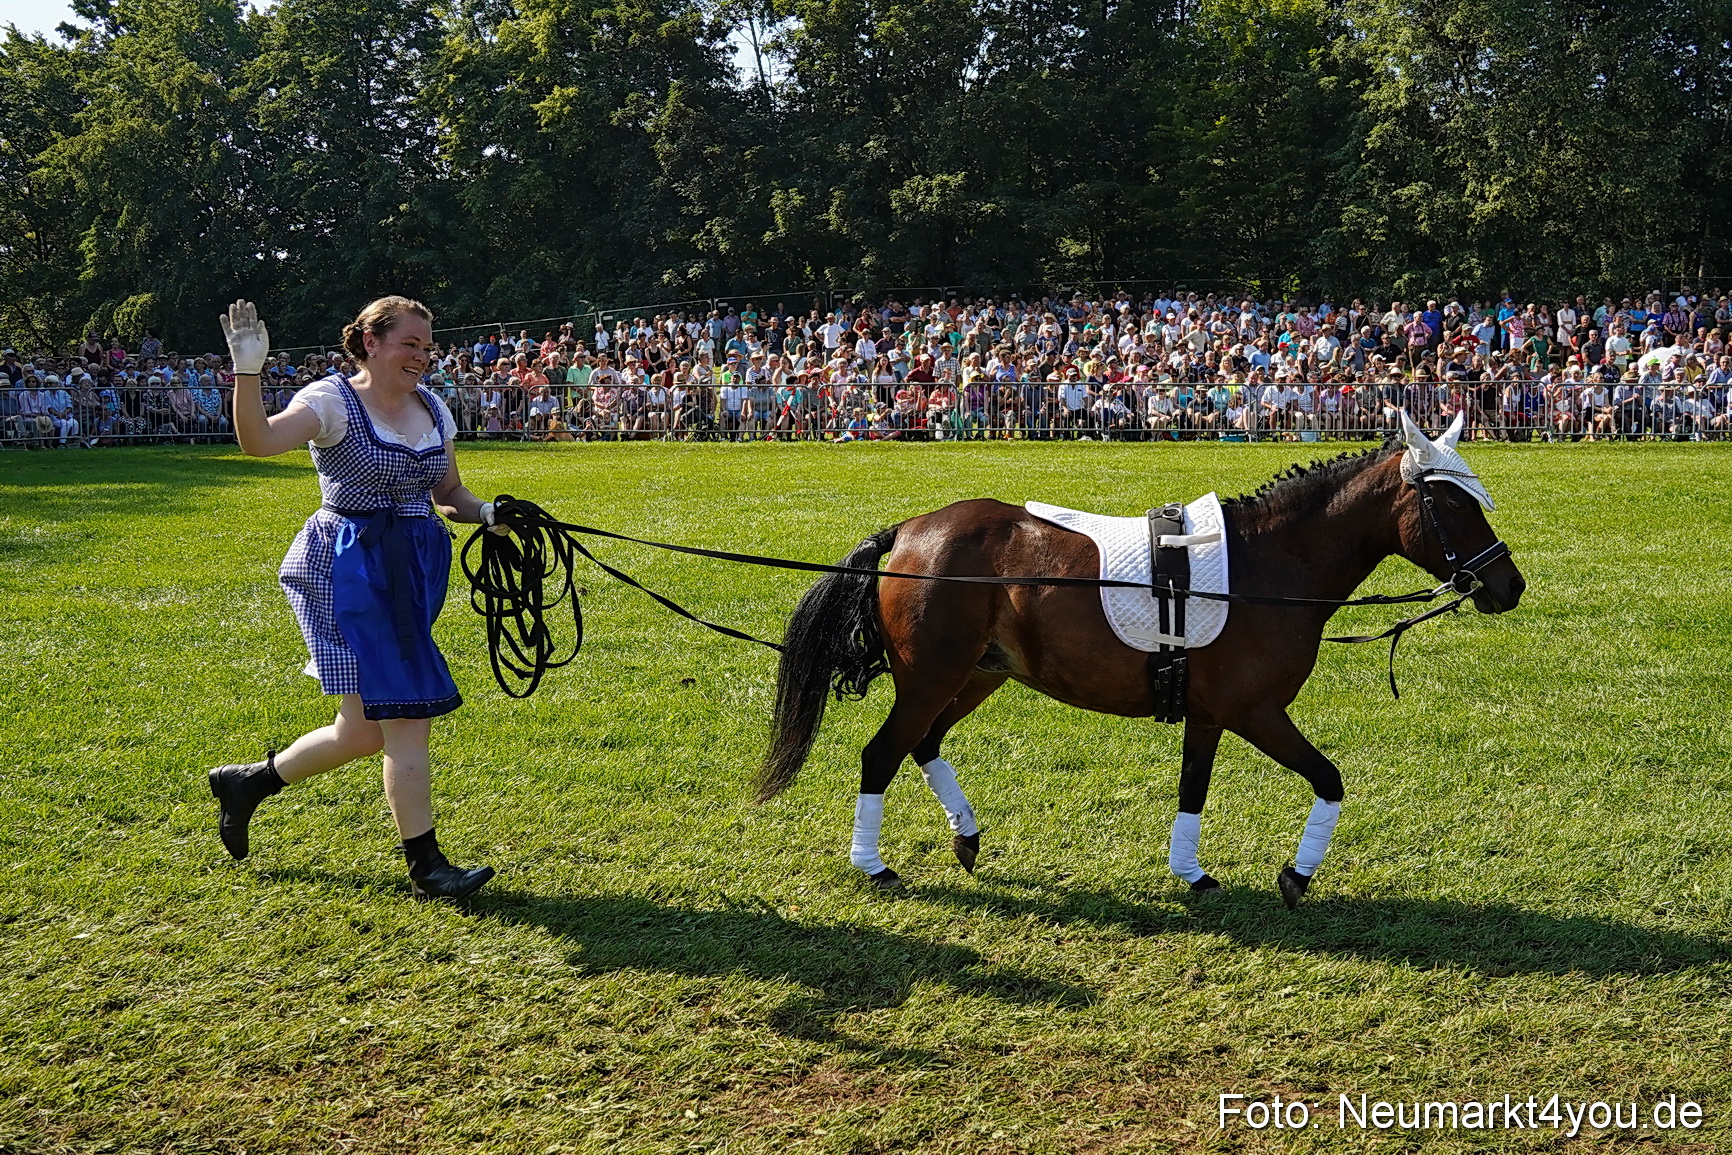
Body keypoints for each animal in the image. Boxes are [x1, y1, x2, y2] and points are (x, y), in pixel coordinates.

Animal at [754, 411, 1525, 906]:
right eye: (1455, 506)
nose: (1509, 586)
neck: (1268, 566)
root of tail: (910, 531)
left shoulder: (1211, 715)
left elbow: (1193, 789)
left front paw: (1192, 873)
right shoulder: (1256, 712)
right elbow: (1329, 779)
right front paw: (1296, 877)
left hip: (977, 675)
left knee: (925, 745)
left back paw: (966, 837)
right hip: (931, 678)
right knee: (881, 754)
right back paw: (875, 868)